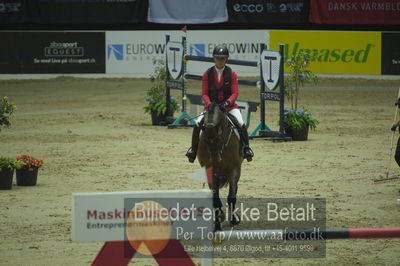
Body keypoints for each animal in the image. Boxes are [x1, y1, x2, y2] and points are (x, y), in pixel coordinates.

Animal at [197, 102, 244, 231]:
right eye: (205, 142)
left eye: (219, 139)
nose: (215, 160)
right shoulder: (211, 173)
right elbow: (216, 199)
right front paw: (218, 223)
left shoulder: (234, 169)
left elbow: (231, 197)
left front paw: (234, 220)